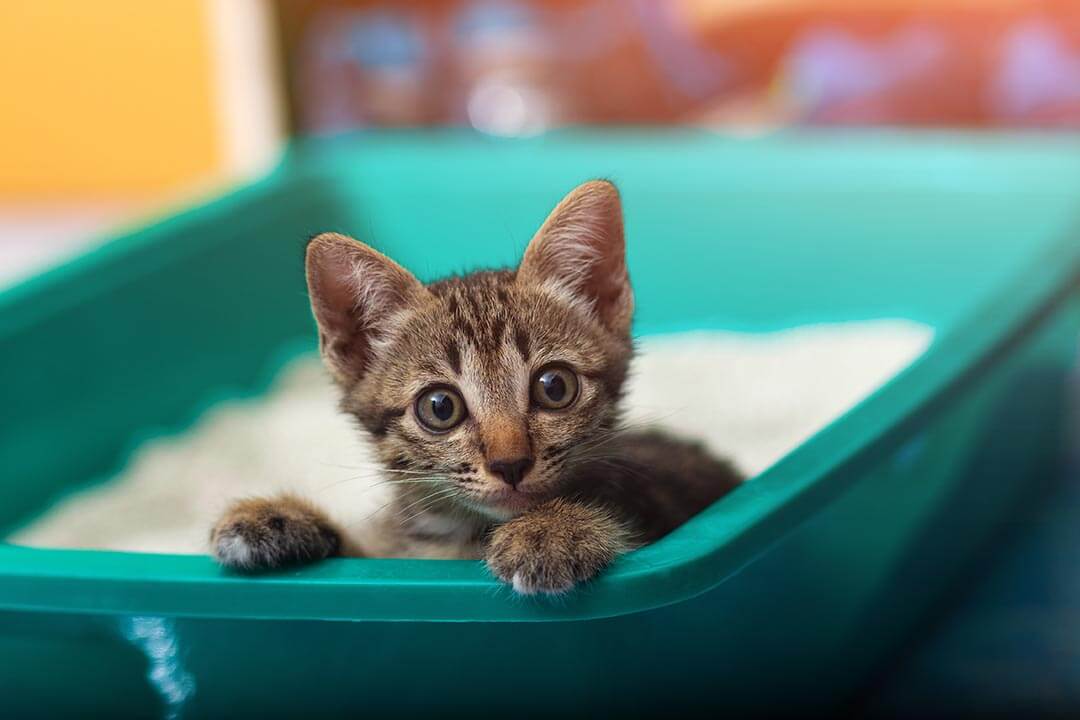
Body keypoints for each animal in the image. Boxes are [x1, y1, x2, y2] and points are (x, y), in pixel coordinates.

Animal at [214, 181, 747, 595]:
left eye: (555, 386)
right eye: (439, 407)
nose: (510, 464)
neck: (467, 538)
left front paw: (554, 529)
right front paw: (279, 518)